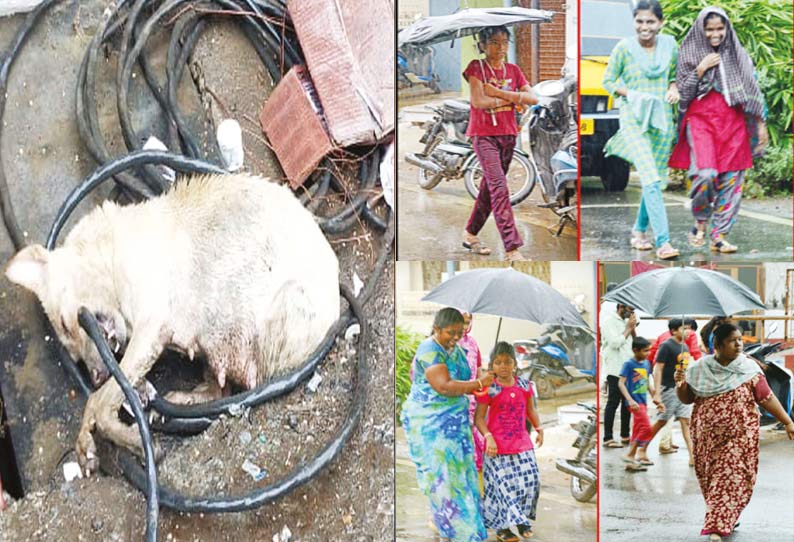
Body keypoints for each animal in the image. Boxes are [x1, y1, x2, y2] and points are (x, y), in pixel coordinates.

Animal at [6, 174, 340, 476]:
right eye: (73, 356)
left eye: (66, 324)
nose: (96, 375)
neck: (109, 250)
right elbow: (114, 390)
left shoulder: (152, 324)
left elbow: (99, 402)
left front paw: (121, 438)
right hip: (217, 341)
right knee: (221, 389)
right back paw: (187, 397)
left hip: (282, 310)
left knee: (257, 383)